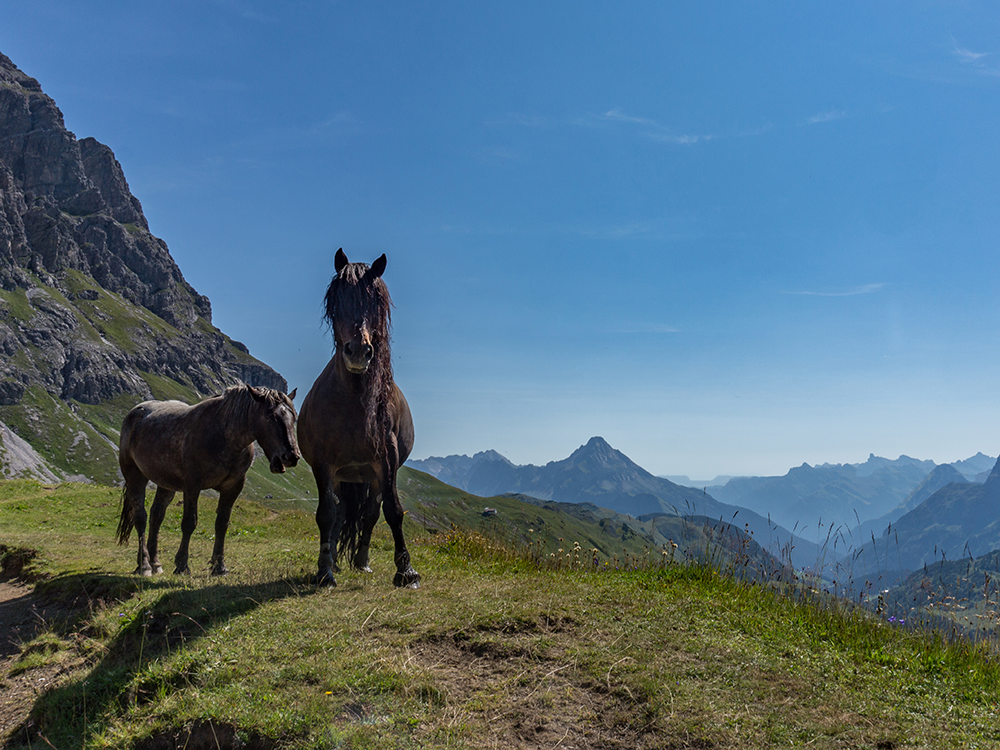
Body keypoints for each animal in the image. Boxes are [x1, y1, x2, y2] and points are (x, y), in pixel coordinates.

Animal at [115, 384, 298, 580]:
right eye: (270, 417)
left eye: (294, 417)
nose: (291, 456)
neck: (225, 437)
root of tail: (135, 412)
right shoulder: (192, 485)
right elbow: (189, 523)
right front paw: (182, 565)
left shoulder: (232, 487)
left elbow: (222, 524)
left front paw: (220, 566)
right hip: (135, 475)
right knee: (140, 516)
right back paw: (144, 565)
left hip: (166, 484)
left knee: (156, 516)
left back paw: (154, 563)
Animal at [298, 250, 420, 592]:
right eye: (337, 300)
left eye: (375, 301)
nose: (358, 351)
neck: (351, 400)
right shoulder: (323, 464)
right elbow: (326, 515)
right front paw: (324, 571)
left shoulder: (387, 460)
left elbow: (392, 511)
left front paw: (406, 571)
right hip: (343, 476)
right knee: (340, 513)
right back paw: (335, 562)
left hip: (372, 476)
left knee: (370, 513)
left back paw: (362, 561)